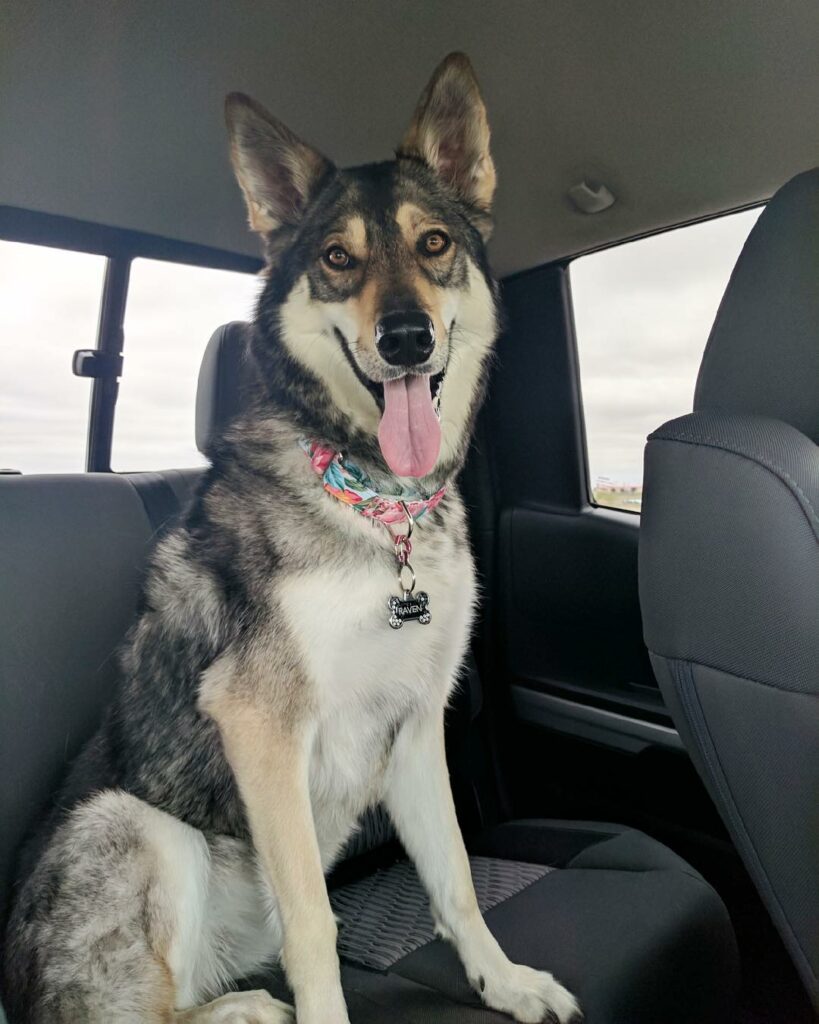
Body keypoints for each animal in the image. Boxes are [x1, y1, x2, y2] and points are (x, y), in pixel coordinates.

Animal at [3, 56, 577, 1024]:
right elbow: (315, 925)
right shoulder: (262, 723)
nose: (406, 338)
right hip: (136, 823)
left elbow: (456, 878)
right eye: (337, 259)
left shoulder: (417, 723)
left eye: (433, 244)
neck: (376, 503)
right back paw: (249, 1009)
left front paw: (503, 983)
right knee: (147, 1010)